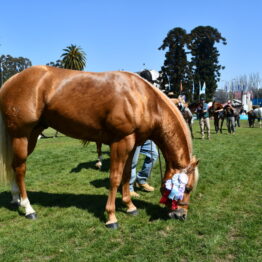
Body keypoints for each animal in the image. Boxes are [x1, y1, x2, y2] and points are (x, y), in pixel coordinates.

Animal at [0, 66, 199, 228]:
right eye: (188, 188)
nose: (181, 215)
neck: (143, 99)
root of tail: (11, 81)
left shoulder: (132, 145)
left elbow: (127, 175)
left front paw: (130, 206)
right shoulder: (121, 142)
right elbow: (115, 178)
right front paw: (111, 217)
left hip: (32, 135)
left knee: (14, 166)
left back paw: (16, 199)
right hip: (21, 136)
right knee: (20, 169)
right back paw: (28, 208)